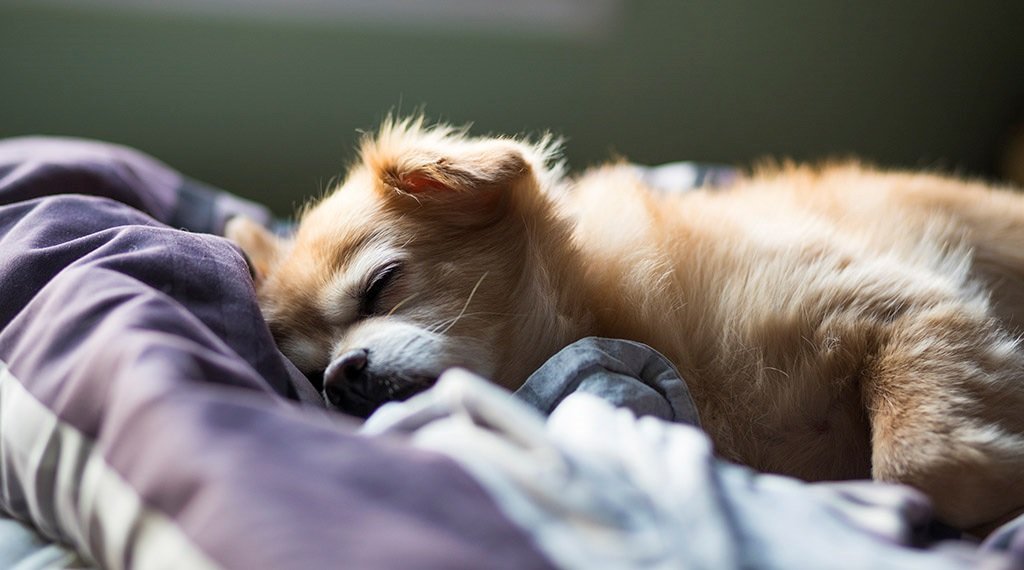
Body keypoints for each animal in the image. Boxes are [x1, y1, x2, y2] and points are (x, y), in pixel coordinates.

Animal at [228, 116, 1024, 532]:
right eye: (308, 371)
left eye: (381, 285)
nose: (340, 377)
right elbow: (917, 467)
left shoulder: (909, 306)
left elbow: (919, 462)